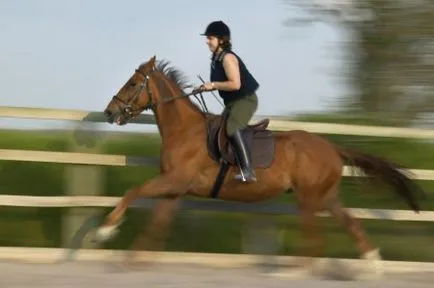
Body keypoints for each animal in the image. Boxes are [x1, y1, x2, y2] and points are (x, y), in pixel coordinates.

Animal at [96, 55, 424, 272]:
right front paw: (134, 258)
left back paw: (296, 270)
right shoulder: (175, 188)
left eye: (133, 83)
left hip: (308, 197)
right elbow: (158, 221)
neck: (185, 131)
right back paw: (373, 264)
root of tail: (331, 146)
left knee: (314, 237)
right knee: (349, 223)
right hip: (325, 195)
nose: (109, 112)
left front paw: (106, 229)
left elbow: (134, 192)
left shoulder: (174, 180)